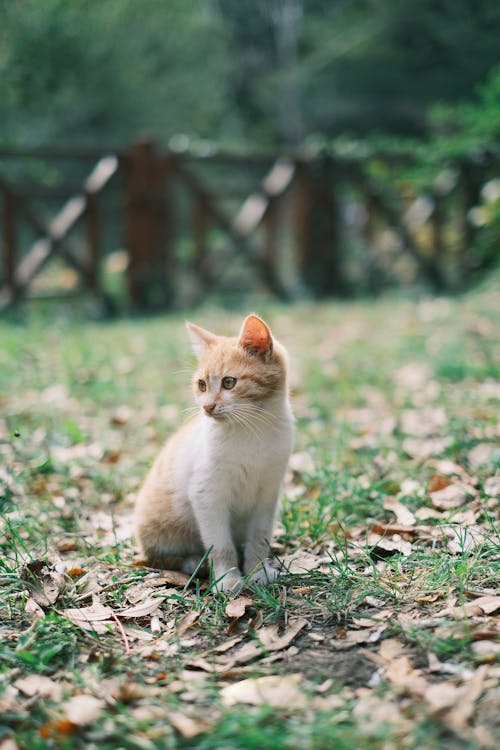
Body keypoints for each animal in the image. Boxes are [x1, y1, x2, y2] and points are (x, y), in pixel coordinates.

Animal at [135, 314, 294, 592]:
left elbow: (259, 538)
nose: (207, 407)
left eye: (229, 382)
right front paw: (228, 579)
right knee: (166, 558)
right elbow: (221, 545)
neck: (252, 430)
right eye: (201, 385)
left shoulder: (267, 493)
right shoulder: (206, 494)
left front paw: (257, 571)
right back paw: (195, 562)